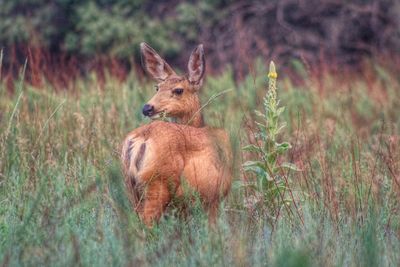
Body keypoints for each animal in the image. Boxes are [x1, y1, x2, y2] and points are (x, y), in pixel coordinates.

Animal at [120, 43, 233, 227]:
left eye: (179, 90)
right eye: (157, 87)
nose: (147, 108)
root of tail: (142, 139)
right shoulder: (213, 197)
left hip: (131, 187)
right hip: (158, 183)